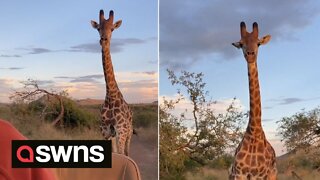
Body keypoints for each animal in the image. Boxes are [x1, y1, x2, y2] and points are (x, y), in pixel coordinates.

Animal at [90, 9, 133, 156]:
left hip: (128, 134)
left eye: (112, 29)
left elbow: (121, 154)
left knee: (127, 152)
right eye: (98, 28)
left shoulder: (121, 131)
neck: (110, 95)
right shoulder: (106, 132)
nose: (104, 39)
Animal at [229, 21, 276, 179]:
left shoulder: (261, 175)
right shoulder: (239, 173)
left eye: (258, 43)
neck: (254, 133)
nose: (250, 55)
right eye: (241, 43)